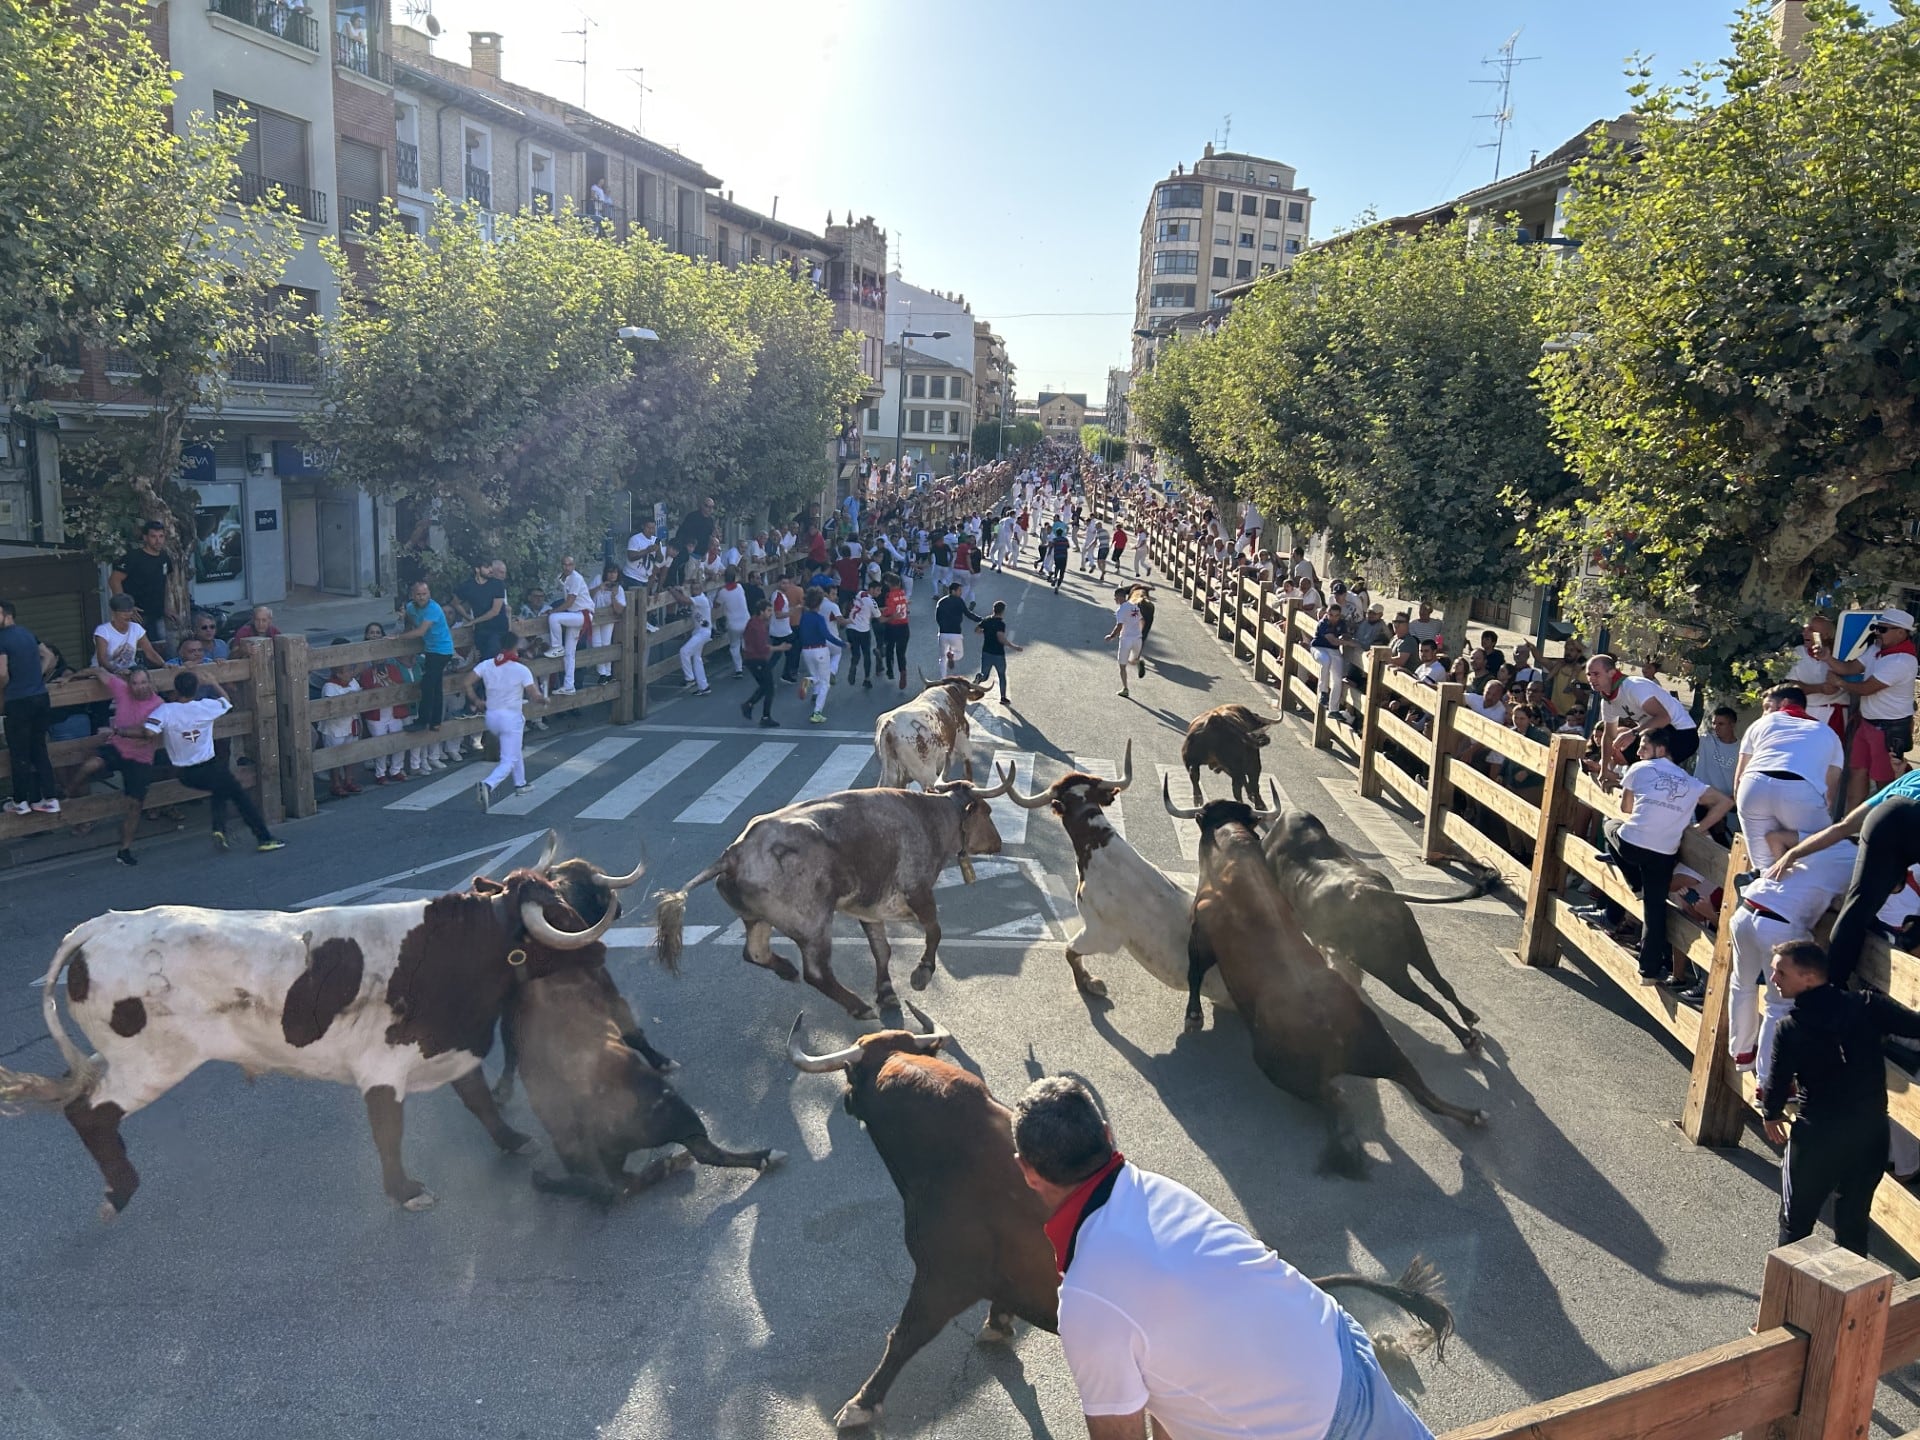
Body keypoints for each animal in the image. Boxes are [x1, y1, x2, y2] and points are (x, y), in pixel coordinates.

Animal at [0, 833, 645, 1221]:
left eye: (566, 899)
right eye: (557, 916)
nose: (599, 954)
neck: (453, 955)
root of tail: (103, 925)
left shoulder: (453, 1047)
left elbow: (479, 1099)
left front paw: (511, 1140)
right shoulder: (383, 1069)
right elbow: (388, 1130)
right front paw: (405, 1191)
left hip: (122, 1058)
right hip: (149, 1063)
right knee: (89, 1112)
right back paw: (120, 1191)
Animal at [652, 771, 1013, 1021]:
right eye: (987, 811)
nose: (998, 843)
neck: (928, 817)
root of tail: (734, 853)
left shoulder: (869, 908)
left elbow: (882, 950)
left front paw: (886, 993)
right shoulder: (919, 892)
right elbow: (934, 931)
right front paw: (921, 973)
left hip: (757, 919)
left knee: (755, 953)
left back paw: (786, 969)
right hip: (813, 925)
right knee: (816, 973)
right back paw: (857, 1006)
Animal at [1159, 783, 1489, 1175]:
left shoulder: (1200, 935)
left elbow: (1194, 973)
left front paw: (1193, 1017)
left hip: (1291, 1061)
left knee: (1337, 1096)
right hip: (1386, 1037)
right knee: (1424, 1082)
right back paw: (1473, 1107)